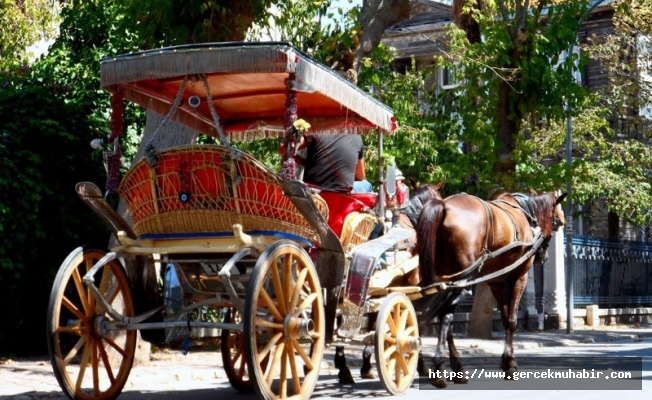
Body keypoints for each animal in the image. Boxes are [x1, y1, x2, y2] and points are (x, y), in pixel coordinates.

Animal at [416, 188, 568, 388]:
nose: (543, 256)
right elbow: (511, 320)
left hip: (440, 278)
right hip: (461, 278)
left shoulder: (496, 282)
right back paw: (439, 366)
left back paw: (447, 366)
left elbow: (504, 317)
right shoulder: (519, 277)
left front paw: (506, 361)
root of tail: (443, 205)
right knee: (446, 317)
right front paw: (510, 364)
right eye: (557, 222)